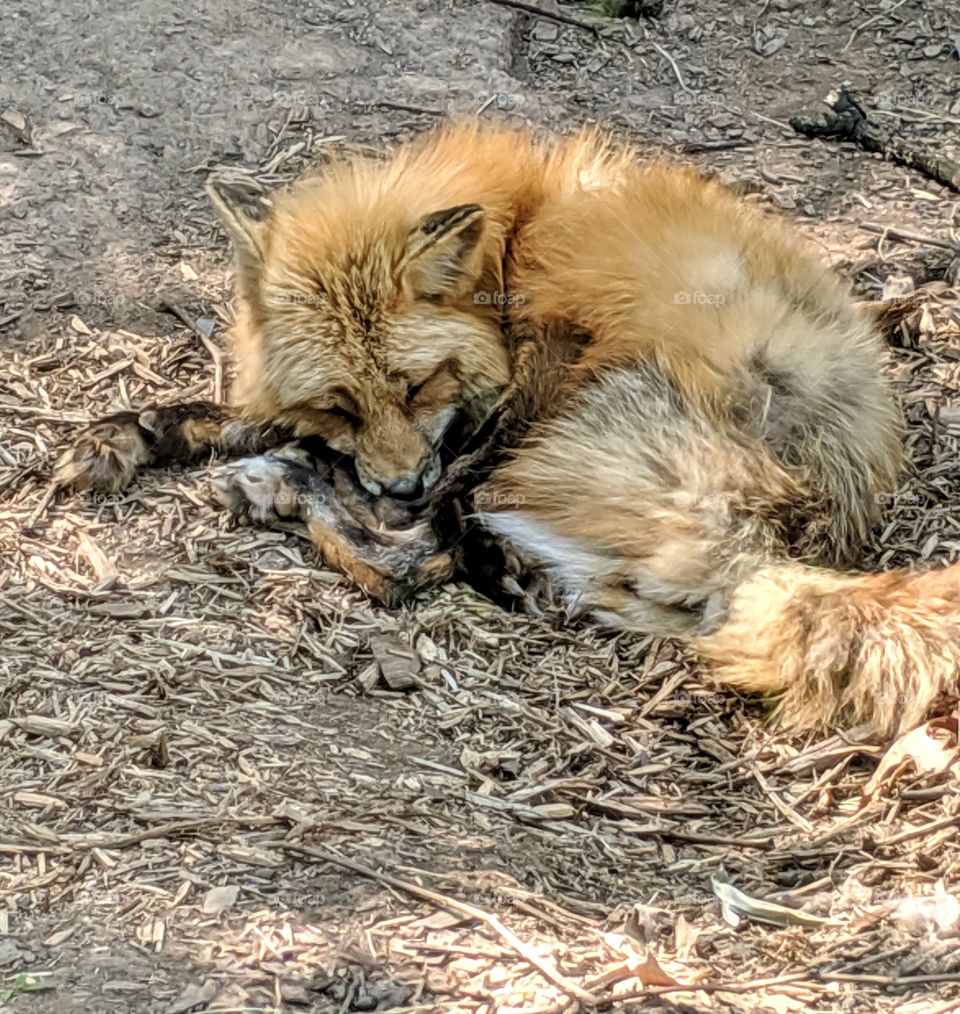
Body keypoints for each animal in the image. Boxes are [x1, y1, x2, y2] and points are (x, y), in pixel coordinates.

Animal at [56, 123, 960, 738]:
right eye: (342, 403)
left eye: (417, 385)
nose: (398, 484)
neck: (513, 244)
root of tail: (791, 524)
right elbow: (239, 415)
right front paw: (136, 431)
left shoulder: (525, 371)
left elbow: (366, 502)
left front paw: (257, 457)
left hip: (549, 426)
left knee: (407, 564)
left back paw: (305, 496)